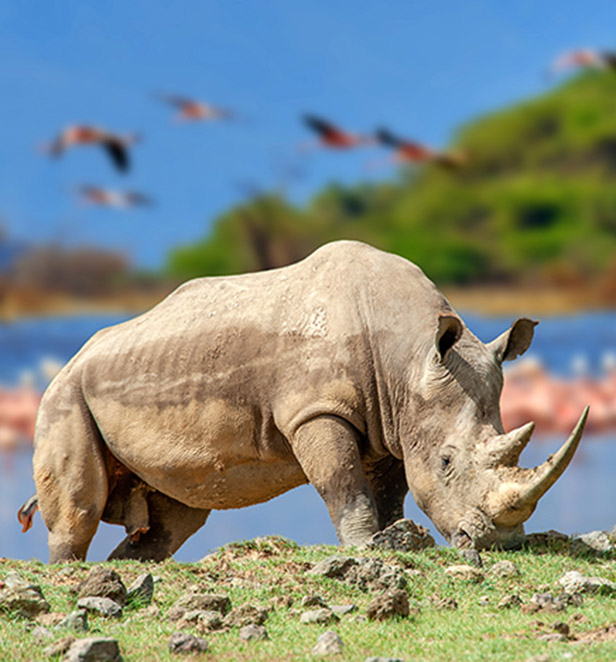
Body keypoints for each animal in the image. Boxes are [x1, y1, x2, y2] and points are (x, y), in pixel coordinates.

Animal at [19, 241, 588, 564]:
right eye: (447, 461)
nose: (499, 544)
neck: (408, 357)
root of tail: (73, 358)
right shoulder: (316, 410)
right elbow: (344, 487)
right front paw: (364, 551)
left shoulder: (394, 426)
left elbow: (389, 493)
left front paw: (393, 540)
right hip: (64, 396)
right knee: (80, 508)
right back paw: (70, 574)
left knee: (173, 520)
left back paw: (128, 569)